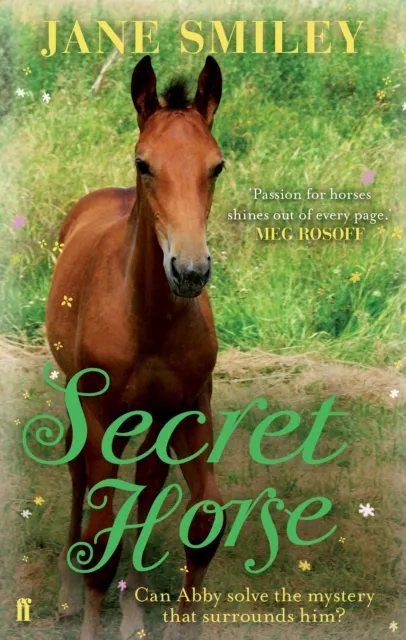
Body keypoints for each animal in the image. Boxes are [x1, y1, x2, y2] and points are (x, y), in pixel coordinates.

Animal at [46, 55, 225, 640]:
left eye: (216, 167)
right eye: (143, 163)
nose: (189, 271)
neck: (148, 322)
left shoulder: (189, 408)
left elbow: (204, 521)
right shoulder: (101, 414)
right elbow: (101, 542)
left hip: (146, 420)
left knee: (146, 488)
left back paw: (133, 608)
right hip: (85, 404)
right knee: (79, 475)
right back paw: (65, 595)